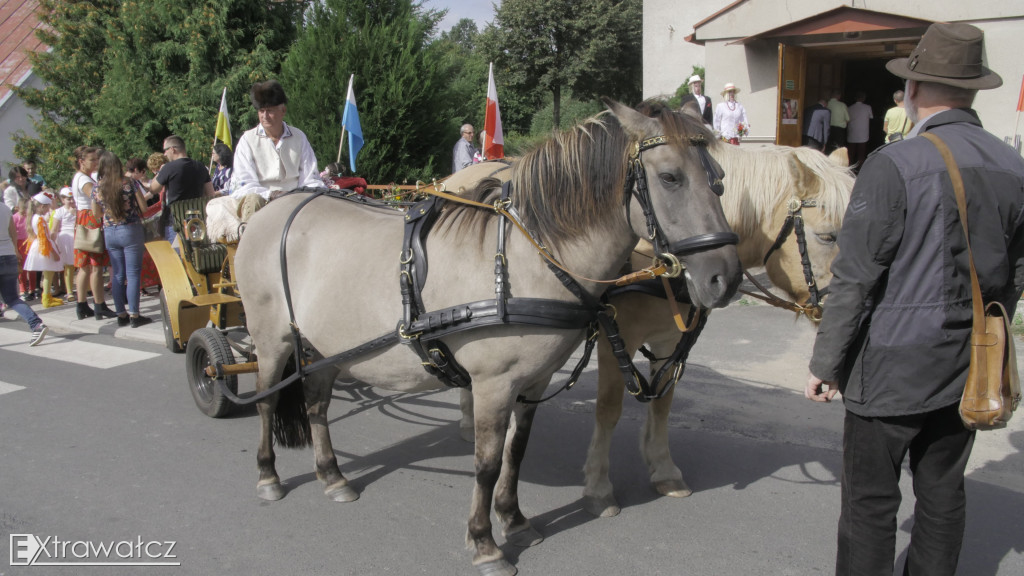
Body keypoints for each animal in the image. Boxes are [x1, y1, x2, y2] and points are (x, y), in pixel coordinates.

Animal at [233, 99, 745, 573]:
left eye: (719, 178)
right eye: (671, 178)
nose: (725, 278)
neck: (526, 258)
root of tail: (278, 207)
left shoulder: (533, 381)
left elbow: (515, 453)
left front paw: (514, 520)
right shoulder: (493, 385)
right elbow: (486, 463)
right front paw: (484, 543)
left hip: (325, 345)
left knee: (317, 404)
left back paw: (332, 476)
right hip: (273, 340)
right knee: (265, 401)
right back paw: (268, 476)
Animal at [450, 139, 856, 516]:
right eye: (827, 236)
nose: (845, 311)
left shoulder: (669, 338)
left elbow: (663, 404)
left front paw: (663, 469)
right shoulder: (618, 337)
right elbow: (609, 409)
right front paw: (599, 486)